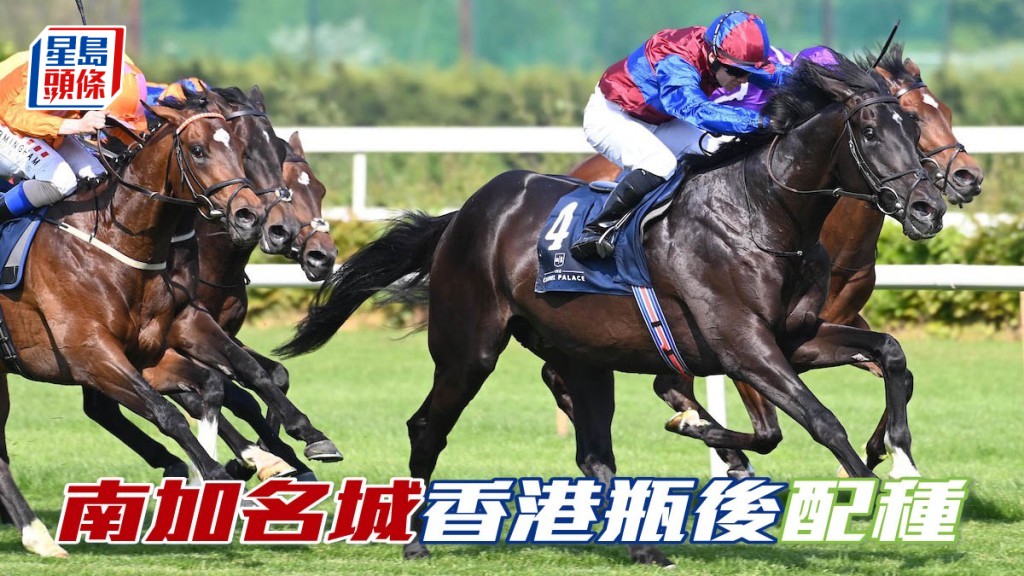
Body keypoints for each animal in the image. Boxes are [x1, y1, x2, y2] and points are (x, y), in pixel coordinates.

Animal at [0, 91, 266, 557]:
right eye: (198, 150)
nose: (250, 214)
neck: (111, 242)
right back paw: (39, 535)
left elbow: (212, 387)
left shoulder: (145, 351)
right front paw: (215, 474)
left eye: (236, 147)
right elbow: (167, 413)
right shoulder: (90, 354)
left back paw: (38, 536)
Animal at [278, 54, 946, 564]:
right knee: (427, 426)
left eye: (912, 128)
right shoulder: (744, 346)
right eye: (870, 133)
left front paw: (900, 455)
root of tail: (465, 213)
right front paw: (869, 491)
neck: (762, 213)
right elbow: (815, 421)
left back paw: (644, 543)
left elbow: (888, 354)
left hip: (584, 357)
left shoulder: (794, 338)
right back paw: (415, 541)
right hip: (470, 348)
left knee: (592, 451)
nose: (929, 207)